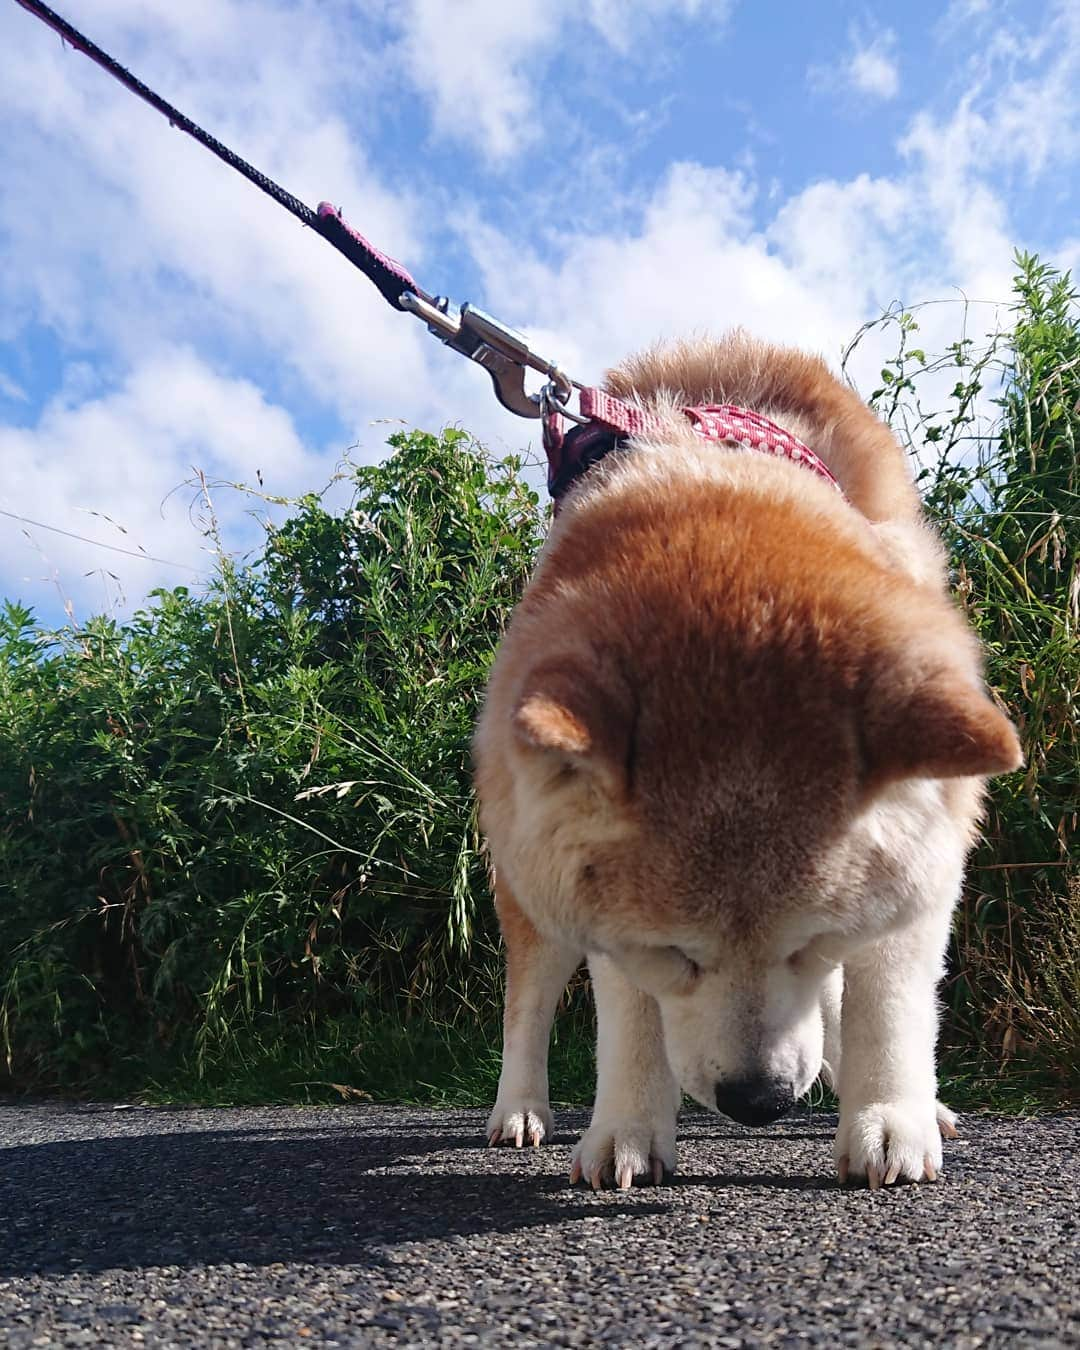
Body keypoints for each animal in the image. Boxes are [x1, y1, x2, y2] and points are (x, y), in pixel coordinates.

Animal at [475, 334, 1020, 1193]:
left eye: (813, 939)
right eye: (672, 953)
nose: (758, 1103)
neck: (715, 468)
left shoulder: (927, 853)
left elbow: (886, 997)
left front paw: (889, 1117)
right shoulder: (605, 917)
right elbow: (629, 1017)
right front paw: (627, 1129)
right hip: (530, 892)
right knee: (525, 1006)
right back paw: (521, 1110)